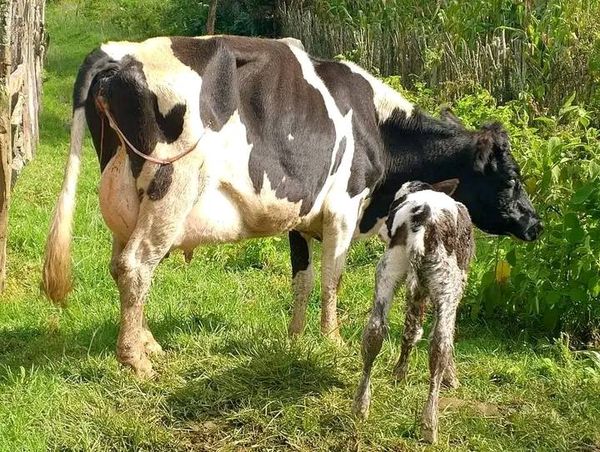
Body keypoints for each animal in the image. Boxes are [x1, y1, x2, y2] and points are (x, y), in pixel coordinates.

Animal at [39, 35, 540, 376]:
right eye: (511, 178)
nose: (535, 223)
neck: (376, 126)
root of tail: (121, 53)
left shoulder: (301, 217)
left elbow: (302, 279)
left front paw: (296, 338)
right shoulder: (343, 208)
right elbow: (333, 279)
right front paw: (332, 341)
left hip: (128, 199)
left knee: (122, 264)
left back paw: (149, 344)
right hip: (172, 187)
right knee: (135, 265)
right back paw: (136, 361)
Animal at [352, 178, 474, 444]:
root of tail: (423, 216)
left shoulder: (414, 286)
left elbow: (410, 329)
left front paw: (399, 373)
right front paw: (452, 378)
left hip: (389, 268)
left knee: (375, 331)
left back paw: (361, 406)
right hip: (447, 282)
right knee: (440, 343)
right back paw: (429, 426)